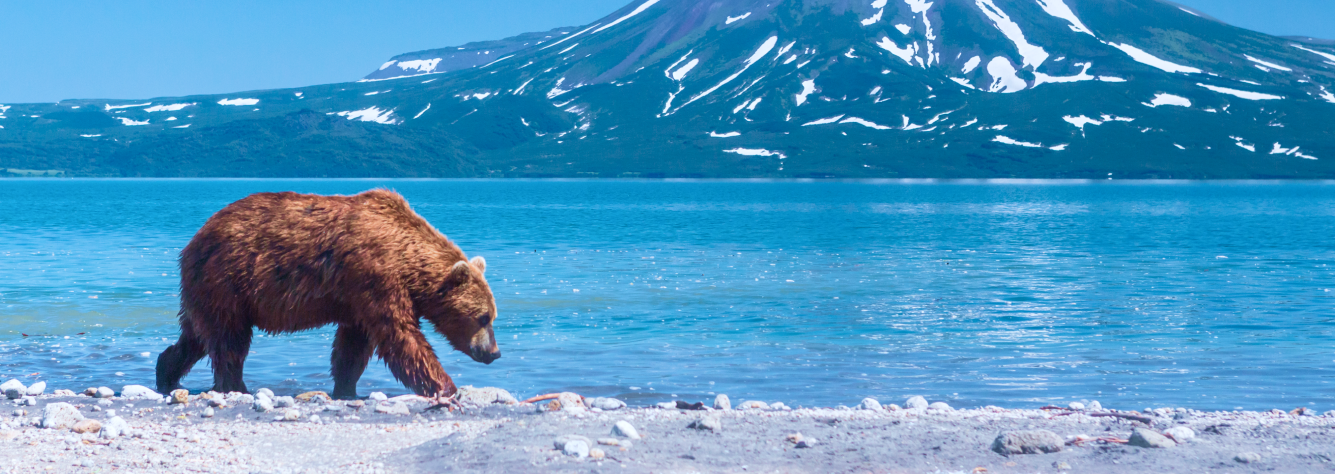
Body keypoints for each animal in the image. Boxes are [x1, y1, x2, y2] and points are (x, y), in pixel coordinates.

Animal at [156, 189, 501, 400]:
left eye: (493, 316)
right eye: (483, 317)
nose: (494, 353)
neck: (406, 258)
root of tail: (195, 239)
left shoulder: (356, 297)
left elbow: (353, 345)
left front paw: (346, 387)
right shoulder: (376, 277)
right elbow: (401, 337)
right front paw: (446, 385)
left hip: (207, 289)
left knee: (196, 336)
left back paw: (166, 373)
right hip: (228, 280)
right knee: (229, 340)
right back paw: (237, 386)